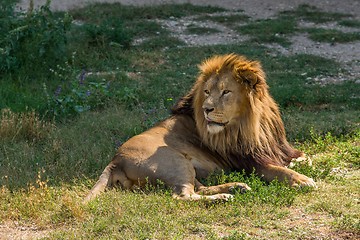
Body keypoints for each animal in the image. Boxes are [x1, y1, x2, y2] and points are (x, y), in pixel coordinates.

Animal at [85, 53, 316, 202]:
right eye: (206, 91)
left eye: (225, 92)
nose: (206, 109)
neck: (254, 123)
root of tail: (115, 160)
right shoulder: (249, 163)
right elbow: (278, 170)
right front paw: (302, 179)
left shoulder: (277, 148)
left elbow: (305, 157)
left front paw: (302, 164)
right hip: (175, 160)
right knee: (182, 196)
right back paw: (223, 197)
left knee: (199, 188)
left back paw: (236, 187)